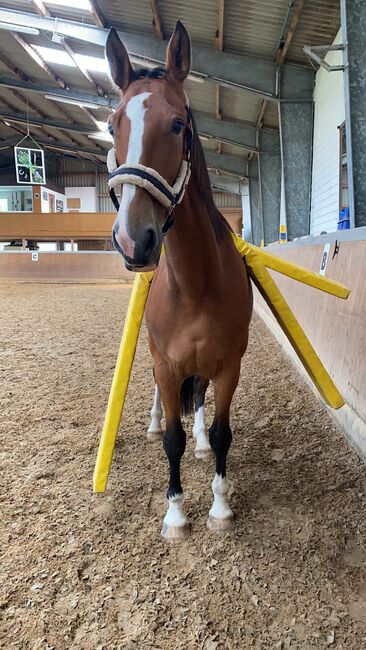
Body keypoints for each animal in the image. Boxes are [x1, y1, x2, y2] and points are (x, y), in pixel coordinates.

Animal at [106, 21, 252, 536]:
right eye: (114, 125)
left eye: (177, 125)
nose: (133, 240)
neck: (193, 285)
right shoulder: (166, 364)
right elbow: (172, 437)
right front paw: (174, 513)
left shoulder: (229, 364)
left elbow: (223, 432)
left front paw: (220, 506)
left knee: (202, 398)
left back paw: (203, 441)